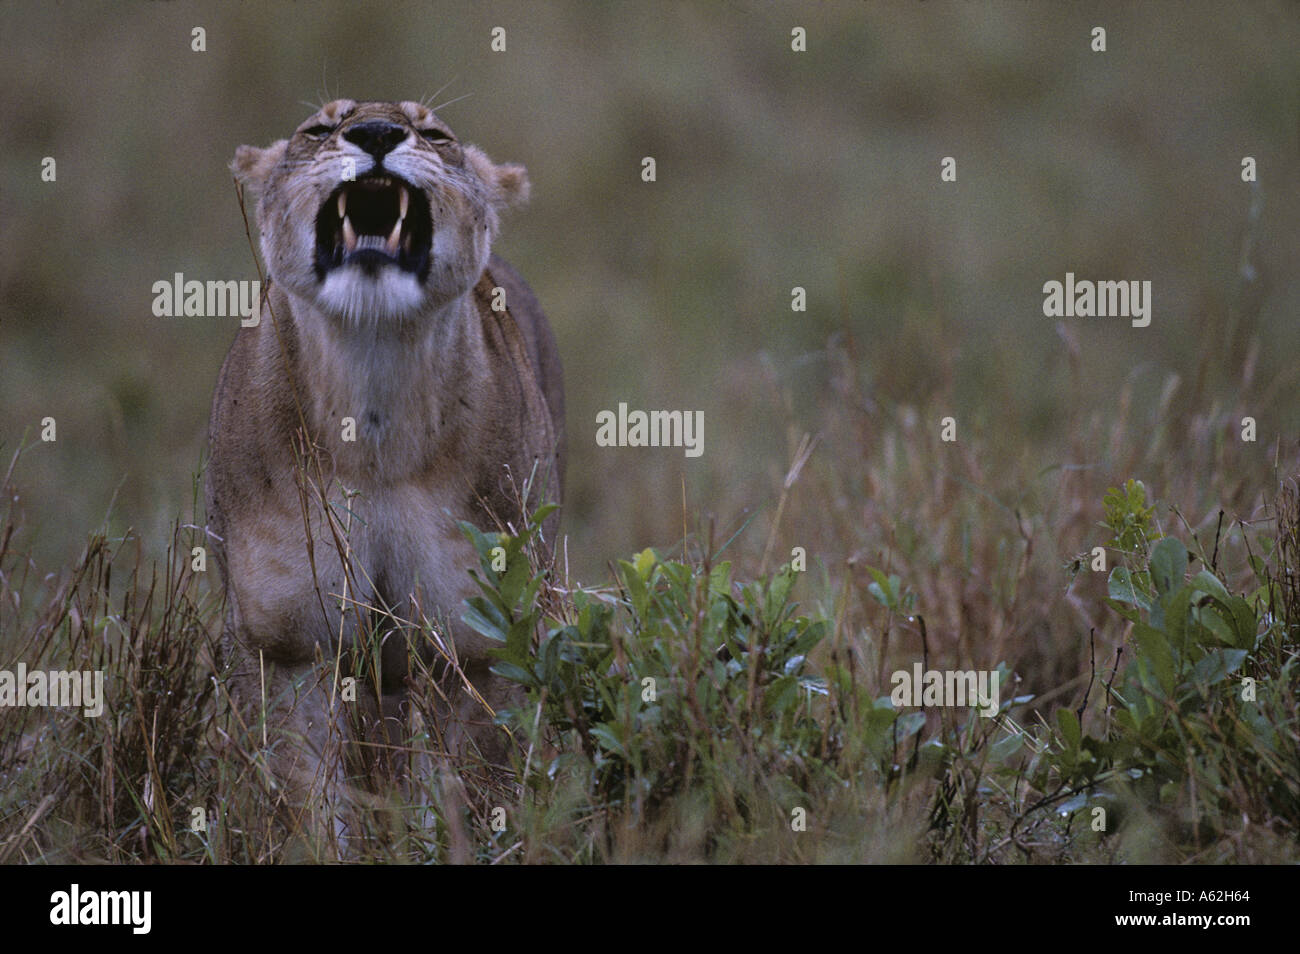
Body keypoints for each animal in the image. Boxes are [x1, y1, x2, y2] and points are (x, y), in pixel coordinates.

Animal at [205, 99, 564, 854]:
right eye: (318, 131)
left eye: (435, 136)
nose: (375, 134)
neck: (373, 414)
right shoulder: (289, 644)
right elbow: (304, 800)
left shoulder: (476, 645)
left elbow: (469, 786)